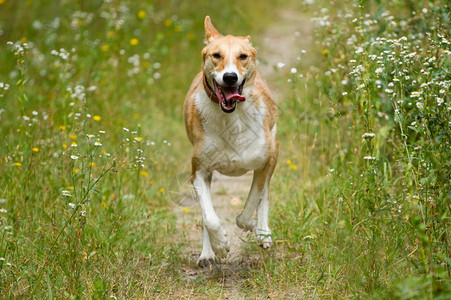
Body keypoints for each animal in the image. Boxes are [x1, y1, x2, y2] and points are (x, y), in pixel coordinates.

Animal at [185, 15, 278, 268]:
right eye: (216, 55)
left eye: (242, 56)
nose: (230, 77)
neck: (231, 117)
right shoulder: (199, 171)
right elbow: (209, 217)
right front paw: (220, 245)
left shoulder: (266, 161)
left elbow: (256, 198)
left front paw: (251, 225)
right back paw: (207, 254)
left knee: (265, 194)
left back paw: (263, 232)